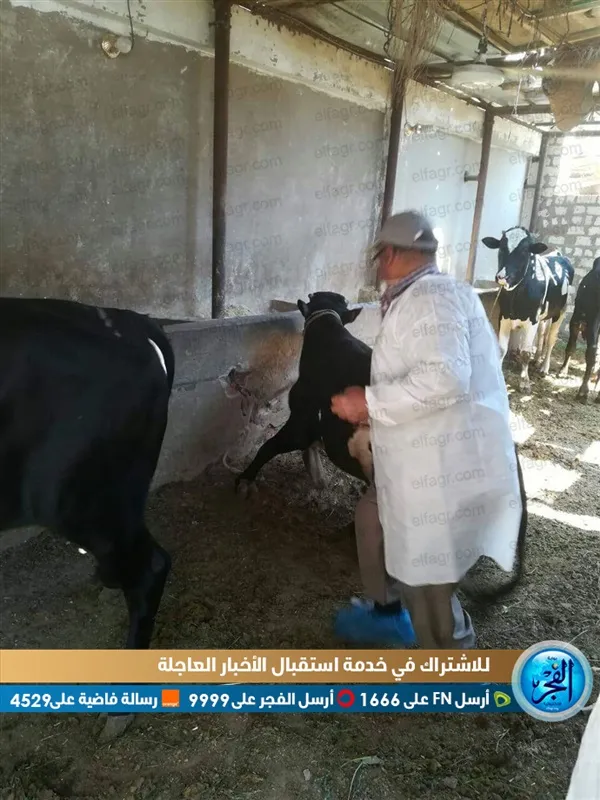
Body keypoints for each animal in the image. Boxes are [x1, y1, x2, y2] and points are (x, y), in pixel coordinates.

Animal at [482, 227, 575, 392]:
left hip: (561, 312)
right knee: (542, 334)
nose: (502, 277)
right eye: (501, 247)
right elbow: (502, 349)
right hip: (543, 317)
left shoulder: (532, 321)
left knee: (550, 340)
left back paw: (544, 367)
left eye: (525, 251)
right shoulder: (504, 317)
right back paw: (537, 359)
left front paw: (524, 381)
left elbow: (525, 352)